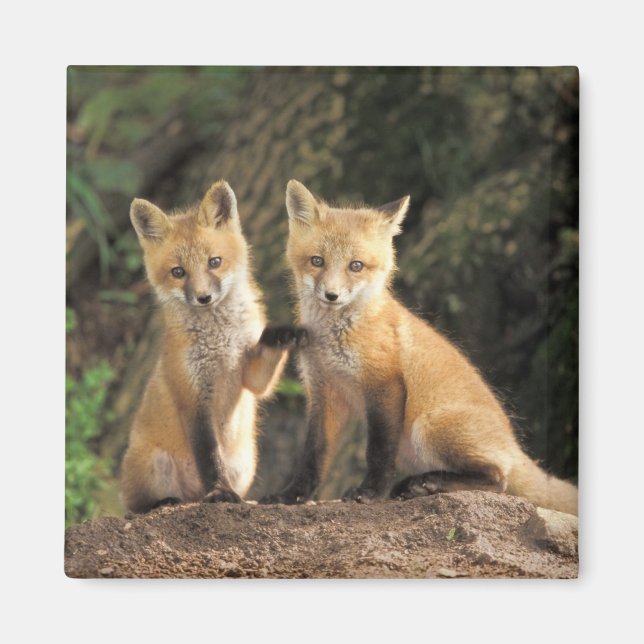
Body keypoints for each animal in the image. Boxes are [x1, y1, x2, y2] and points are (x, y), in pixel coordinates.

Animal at [121, 180, 306, 513]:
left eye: (214, 262)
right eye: (178, 272)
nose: (204, 297)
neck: (221, 342)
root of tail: (192, 495)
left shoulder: (250, 376)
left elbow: (262, 369)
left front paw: (282, 334)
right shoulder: (193, 397)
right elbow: (209, 457)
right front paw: (220, 492)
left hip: (245, 464)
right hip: (154, 465)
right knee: (137, 505)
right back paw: (166, 502)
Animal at [260, 180, 578, 516]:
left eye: (356, 266)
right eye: (317, 261)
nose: (331, 295)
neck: (333, 338)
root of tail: (513, 444)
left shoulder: (384, 384)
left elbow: (378, 451)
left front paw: (370, 492)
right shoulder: (323, 392)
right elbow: (313, 455)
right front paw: (292, 495)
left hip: (427, 426)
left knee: (498, 478)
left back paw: (428, 483)